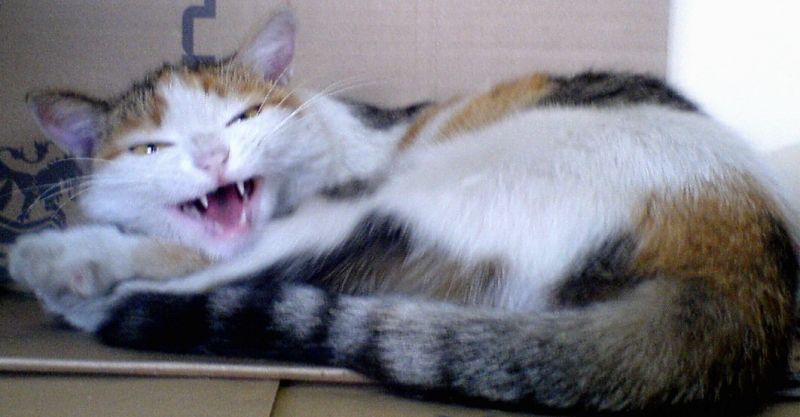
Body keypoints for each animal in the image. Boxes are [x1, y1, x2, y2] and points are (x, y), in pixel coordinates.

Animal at [9, 9, 800, 414]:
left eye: (243, 116)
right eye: (151, 147)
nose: (210, 155)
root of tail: (751, 276)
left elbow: (202, 253)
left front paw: (80, 255)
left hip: (435, 184)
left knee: (254, 272)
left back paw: (68, 275)